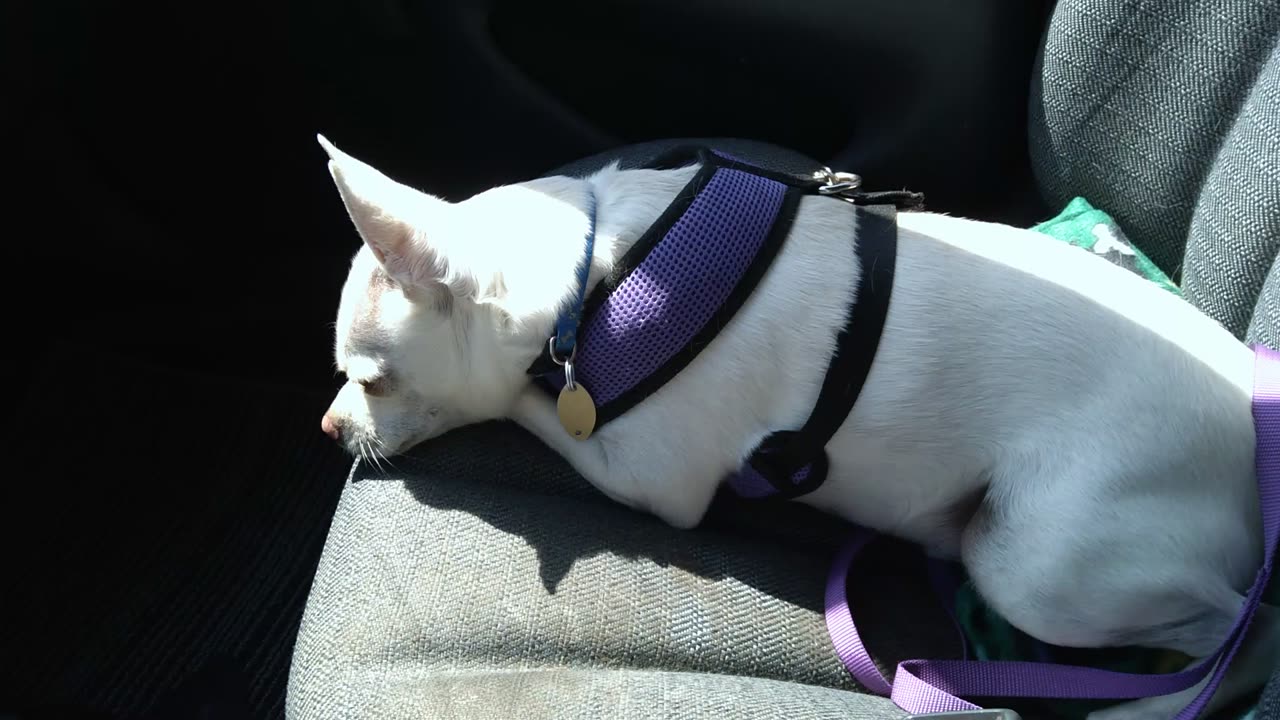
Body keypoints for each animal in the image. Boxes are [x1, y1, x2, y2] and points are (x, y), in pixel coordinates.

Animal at [314, 135, 1274, 717]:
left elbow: (533, 405)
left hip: (1032, 563)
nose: (327, 426)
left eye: (371, 379)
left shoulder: (649, 475)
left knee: (1242, 633)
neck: (595, 268)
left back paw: (1148, 701)